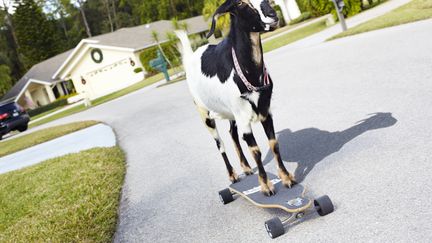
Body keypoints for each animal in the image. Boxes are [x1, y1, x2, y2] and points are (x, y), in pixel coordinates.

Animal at [175, 0, 294, 195]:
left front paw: (286, 178)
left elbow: (273, 143)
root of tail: (191, 56)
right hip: (204, 113)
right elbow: (256, 150)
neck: (248, 73)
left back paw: (245, 167)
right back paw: (232, 175)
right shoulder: (243, 117)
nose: (273, 15)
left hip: (232, 113)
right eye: (242, 4)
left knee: (232, 133)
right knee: (220, 143)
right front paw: (266, 186)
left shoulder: (265, 111)